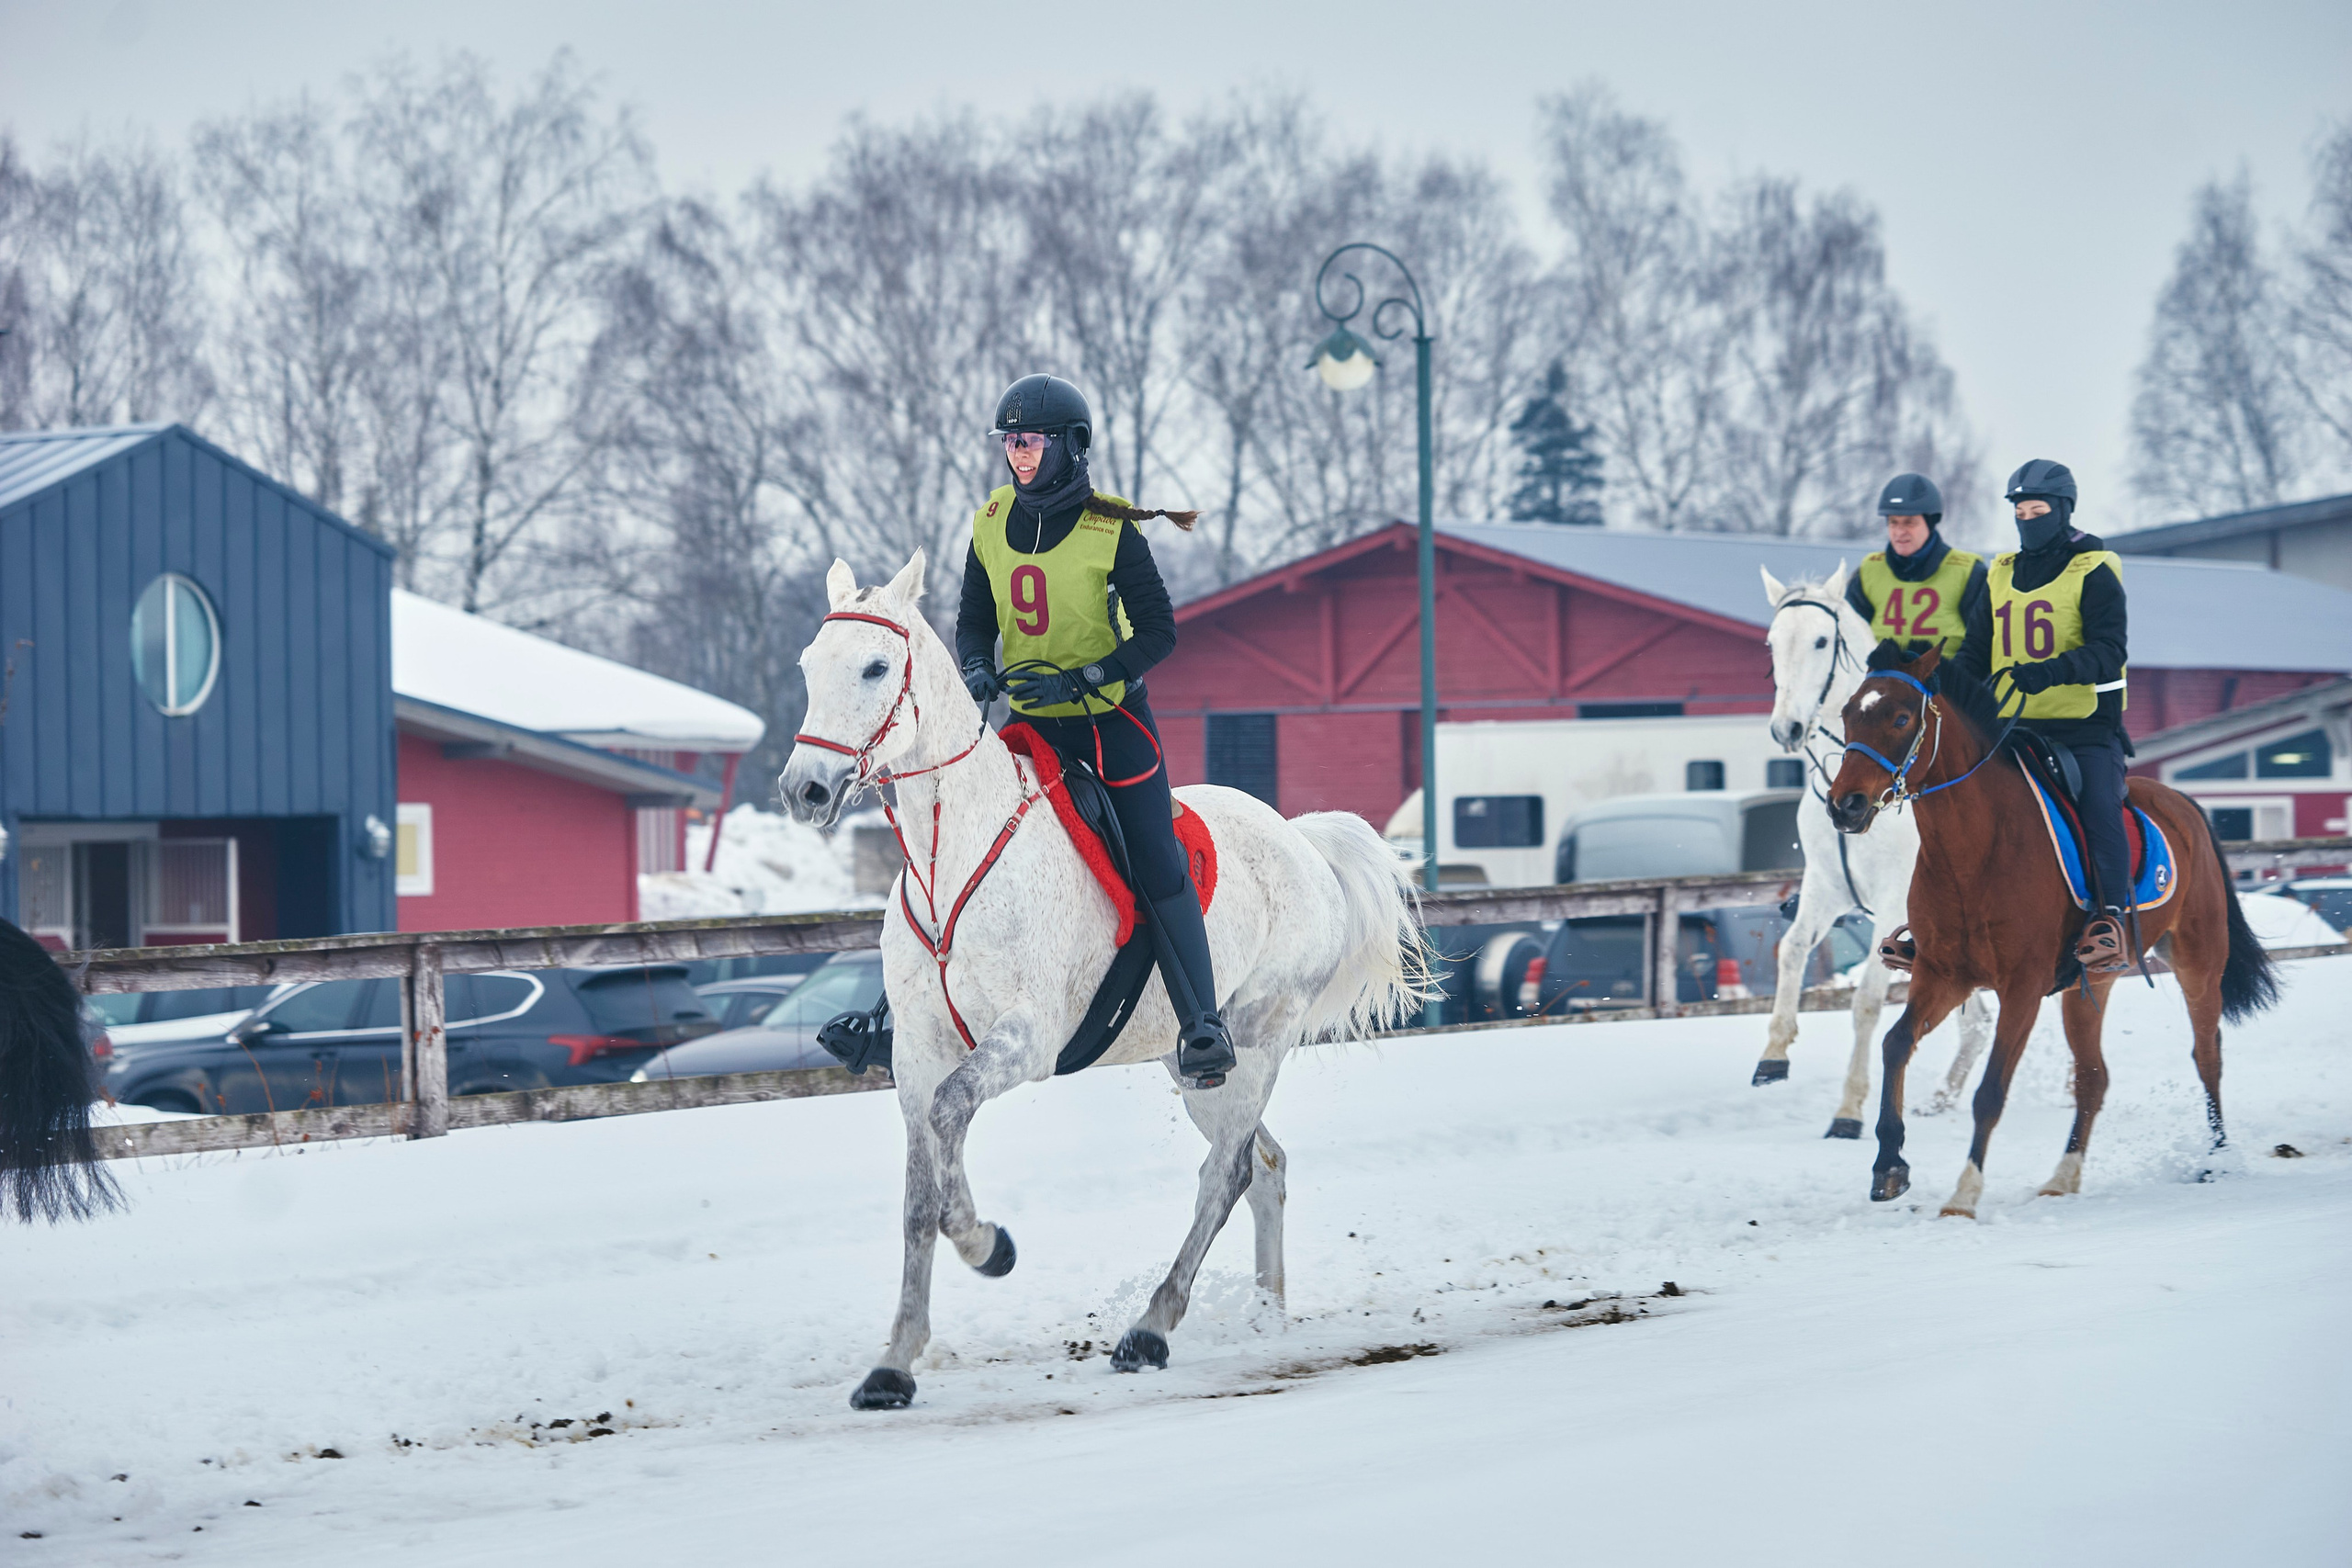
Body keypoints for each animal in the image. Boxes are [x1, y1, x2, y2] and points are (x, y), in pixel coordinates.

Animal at [780, 552, 1430, 1409]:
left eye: (876, 666)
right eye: (807, 666)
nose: (805, 789)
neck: (955, 853)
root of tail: (1301, 840)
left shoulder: (1025, 1042)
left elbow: (952, 1123)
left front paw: (986, 1243)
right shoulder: (915, 1055)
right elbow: (921, 1192)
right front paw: (894, 1363)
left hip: (1255, 1041)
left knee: (1224, 1173)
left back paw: (1151, 1328)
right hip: (1195, 1069)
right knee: (1264, 1167)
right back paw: (1266, 1315)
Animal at [1757, 565, 1992, 1134]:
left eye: (1821, 641)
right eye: (1772, 642)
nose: (1786, 728)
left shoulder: (1893, 905)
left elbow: (1864, 1000)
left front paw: (1849, 1109)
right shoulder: (1825, 889)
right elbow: (1791, 950)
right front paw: (1773, 1057)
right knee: (1978, 1023)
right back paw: (1941, 1099)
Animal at [1827, 644, 2279, 1217]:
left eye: (1902, 718)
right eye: (1848, 713)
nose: (1844, 805)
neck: (1973, 850)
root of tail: (2183, 804)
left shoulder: (2021, 987)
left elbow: (1990, 1090)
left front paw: (1964, 1194)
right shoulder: (1942, 975)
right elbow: (1895, 1043)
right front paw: (1889, 1165)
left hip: (2198, 963)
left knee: (2207, 1057)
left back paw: (2216, 1159)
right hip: (2091, 986)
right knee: (2093, 1078)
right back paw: (2063, 1177)